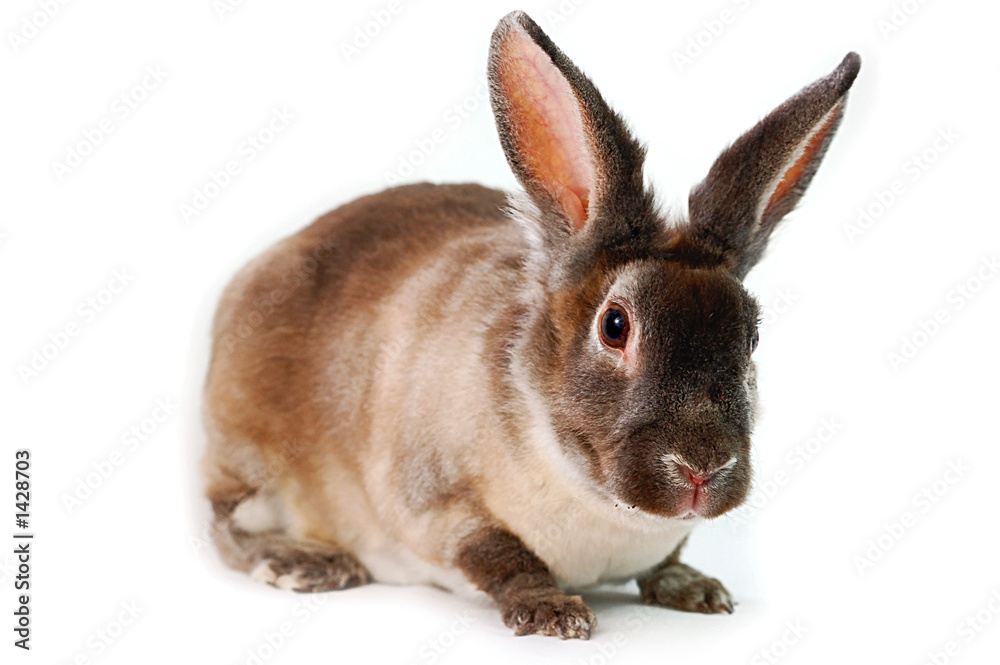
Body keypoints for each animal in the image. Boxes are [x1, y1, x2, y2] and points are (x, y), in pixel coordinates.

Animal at [201, 10, 860, 640]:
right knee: (225, 529)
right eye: (615, 326)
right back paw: (306, 564)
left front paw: (696, 590)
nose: (701, 469)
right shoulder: (434, 504)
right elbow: (501, 557)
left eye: (752, 336)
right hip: (252, 466)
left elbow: (665, 560)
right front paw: (553, 614)